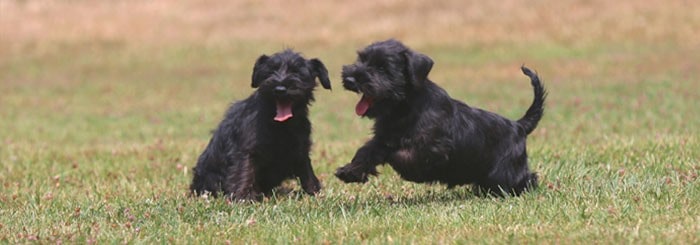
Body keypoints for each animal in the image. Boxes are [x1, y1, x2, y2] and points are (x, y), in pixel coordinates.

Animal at [190, 49, 332, 201]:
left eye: (297, 72)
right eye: (270, 71)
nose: (280, 89)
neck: (281, 125)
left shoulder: (300, 149)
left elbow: (307, 173)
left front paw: (315, 194)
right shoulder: (247, 150)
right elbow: (244, 171)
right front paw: (242, 198)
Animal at [334, 40, 548, 197]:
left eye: (381, 68)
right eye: (361, 59)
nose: (350, 78)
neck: (404, 106)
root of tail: (519, 126)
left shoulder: (432, 150)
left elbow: (399, 154)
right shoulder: (383, 136)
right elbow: (368, 150)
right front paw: (350, 171)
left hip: (506, 173)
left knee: (526, 179)